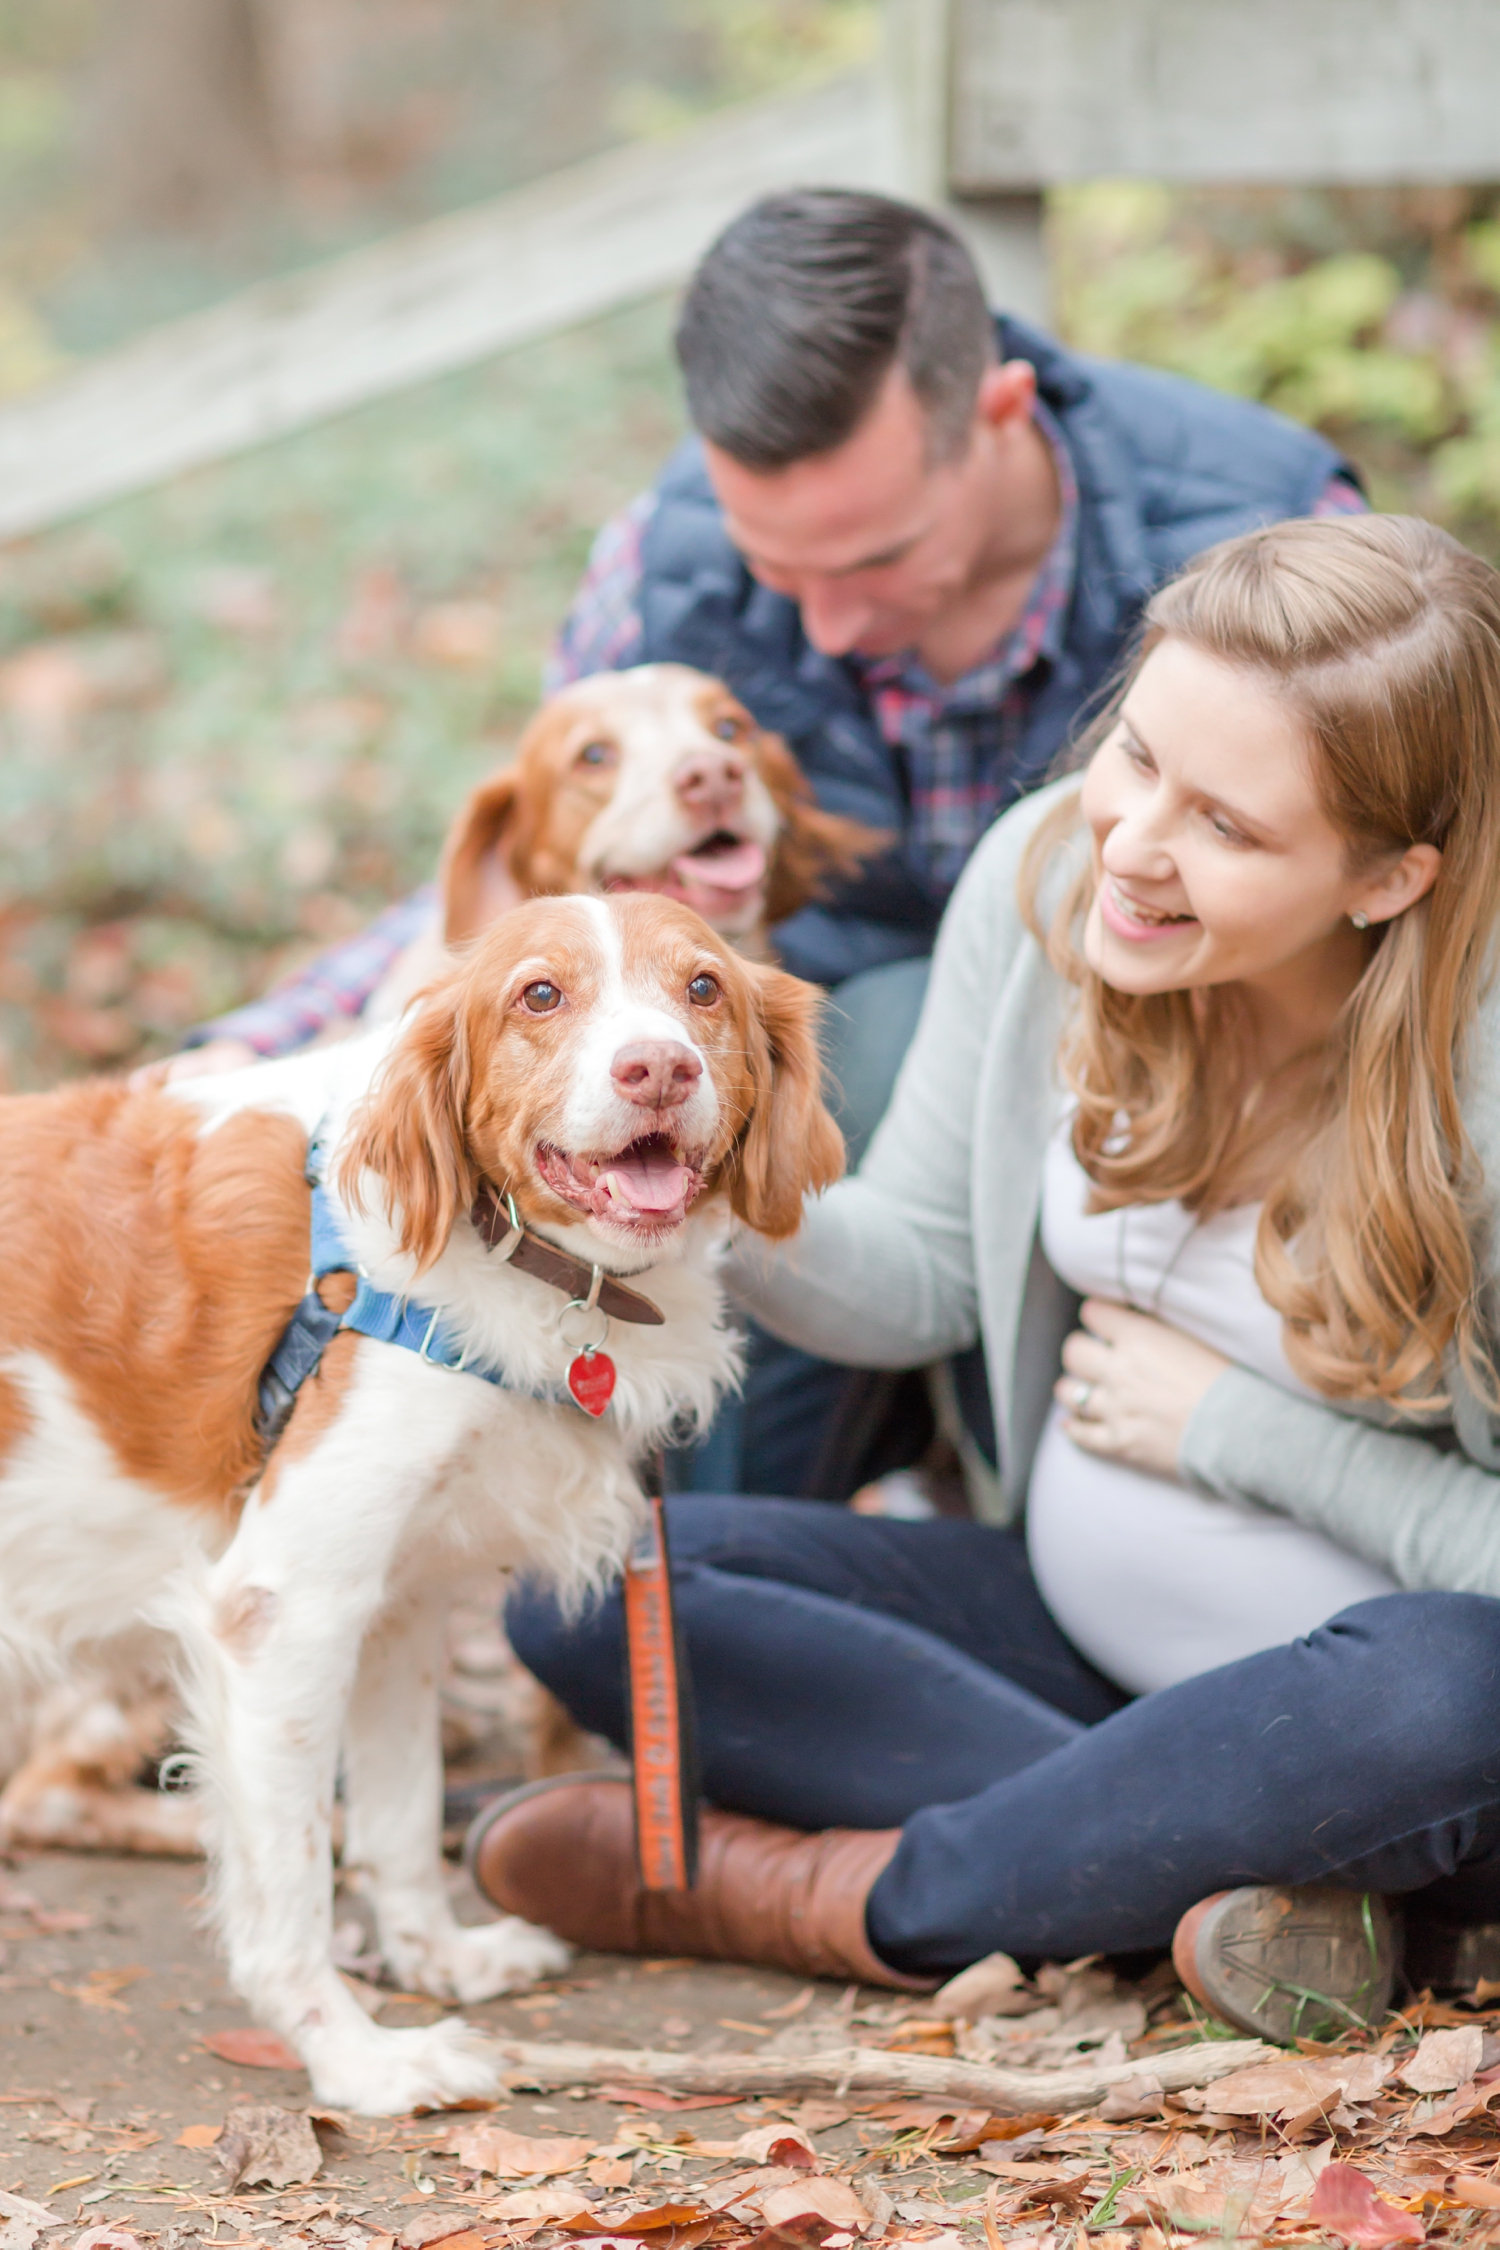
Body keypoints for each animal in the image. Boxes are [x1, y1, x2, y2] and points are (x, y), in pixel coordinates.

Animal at [0, 891, 845, 2106]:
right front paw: (354, 2059)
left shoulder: (397, 1607)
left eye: (704, 989)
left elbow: (398, 1818)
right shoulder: (281, 1612)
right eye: (539, 994)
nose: (659, 1070)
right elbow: (295, 1879)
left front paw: (438, 1957)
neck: (503, 1254)